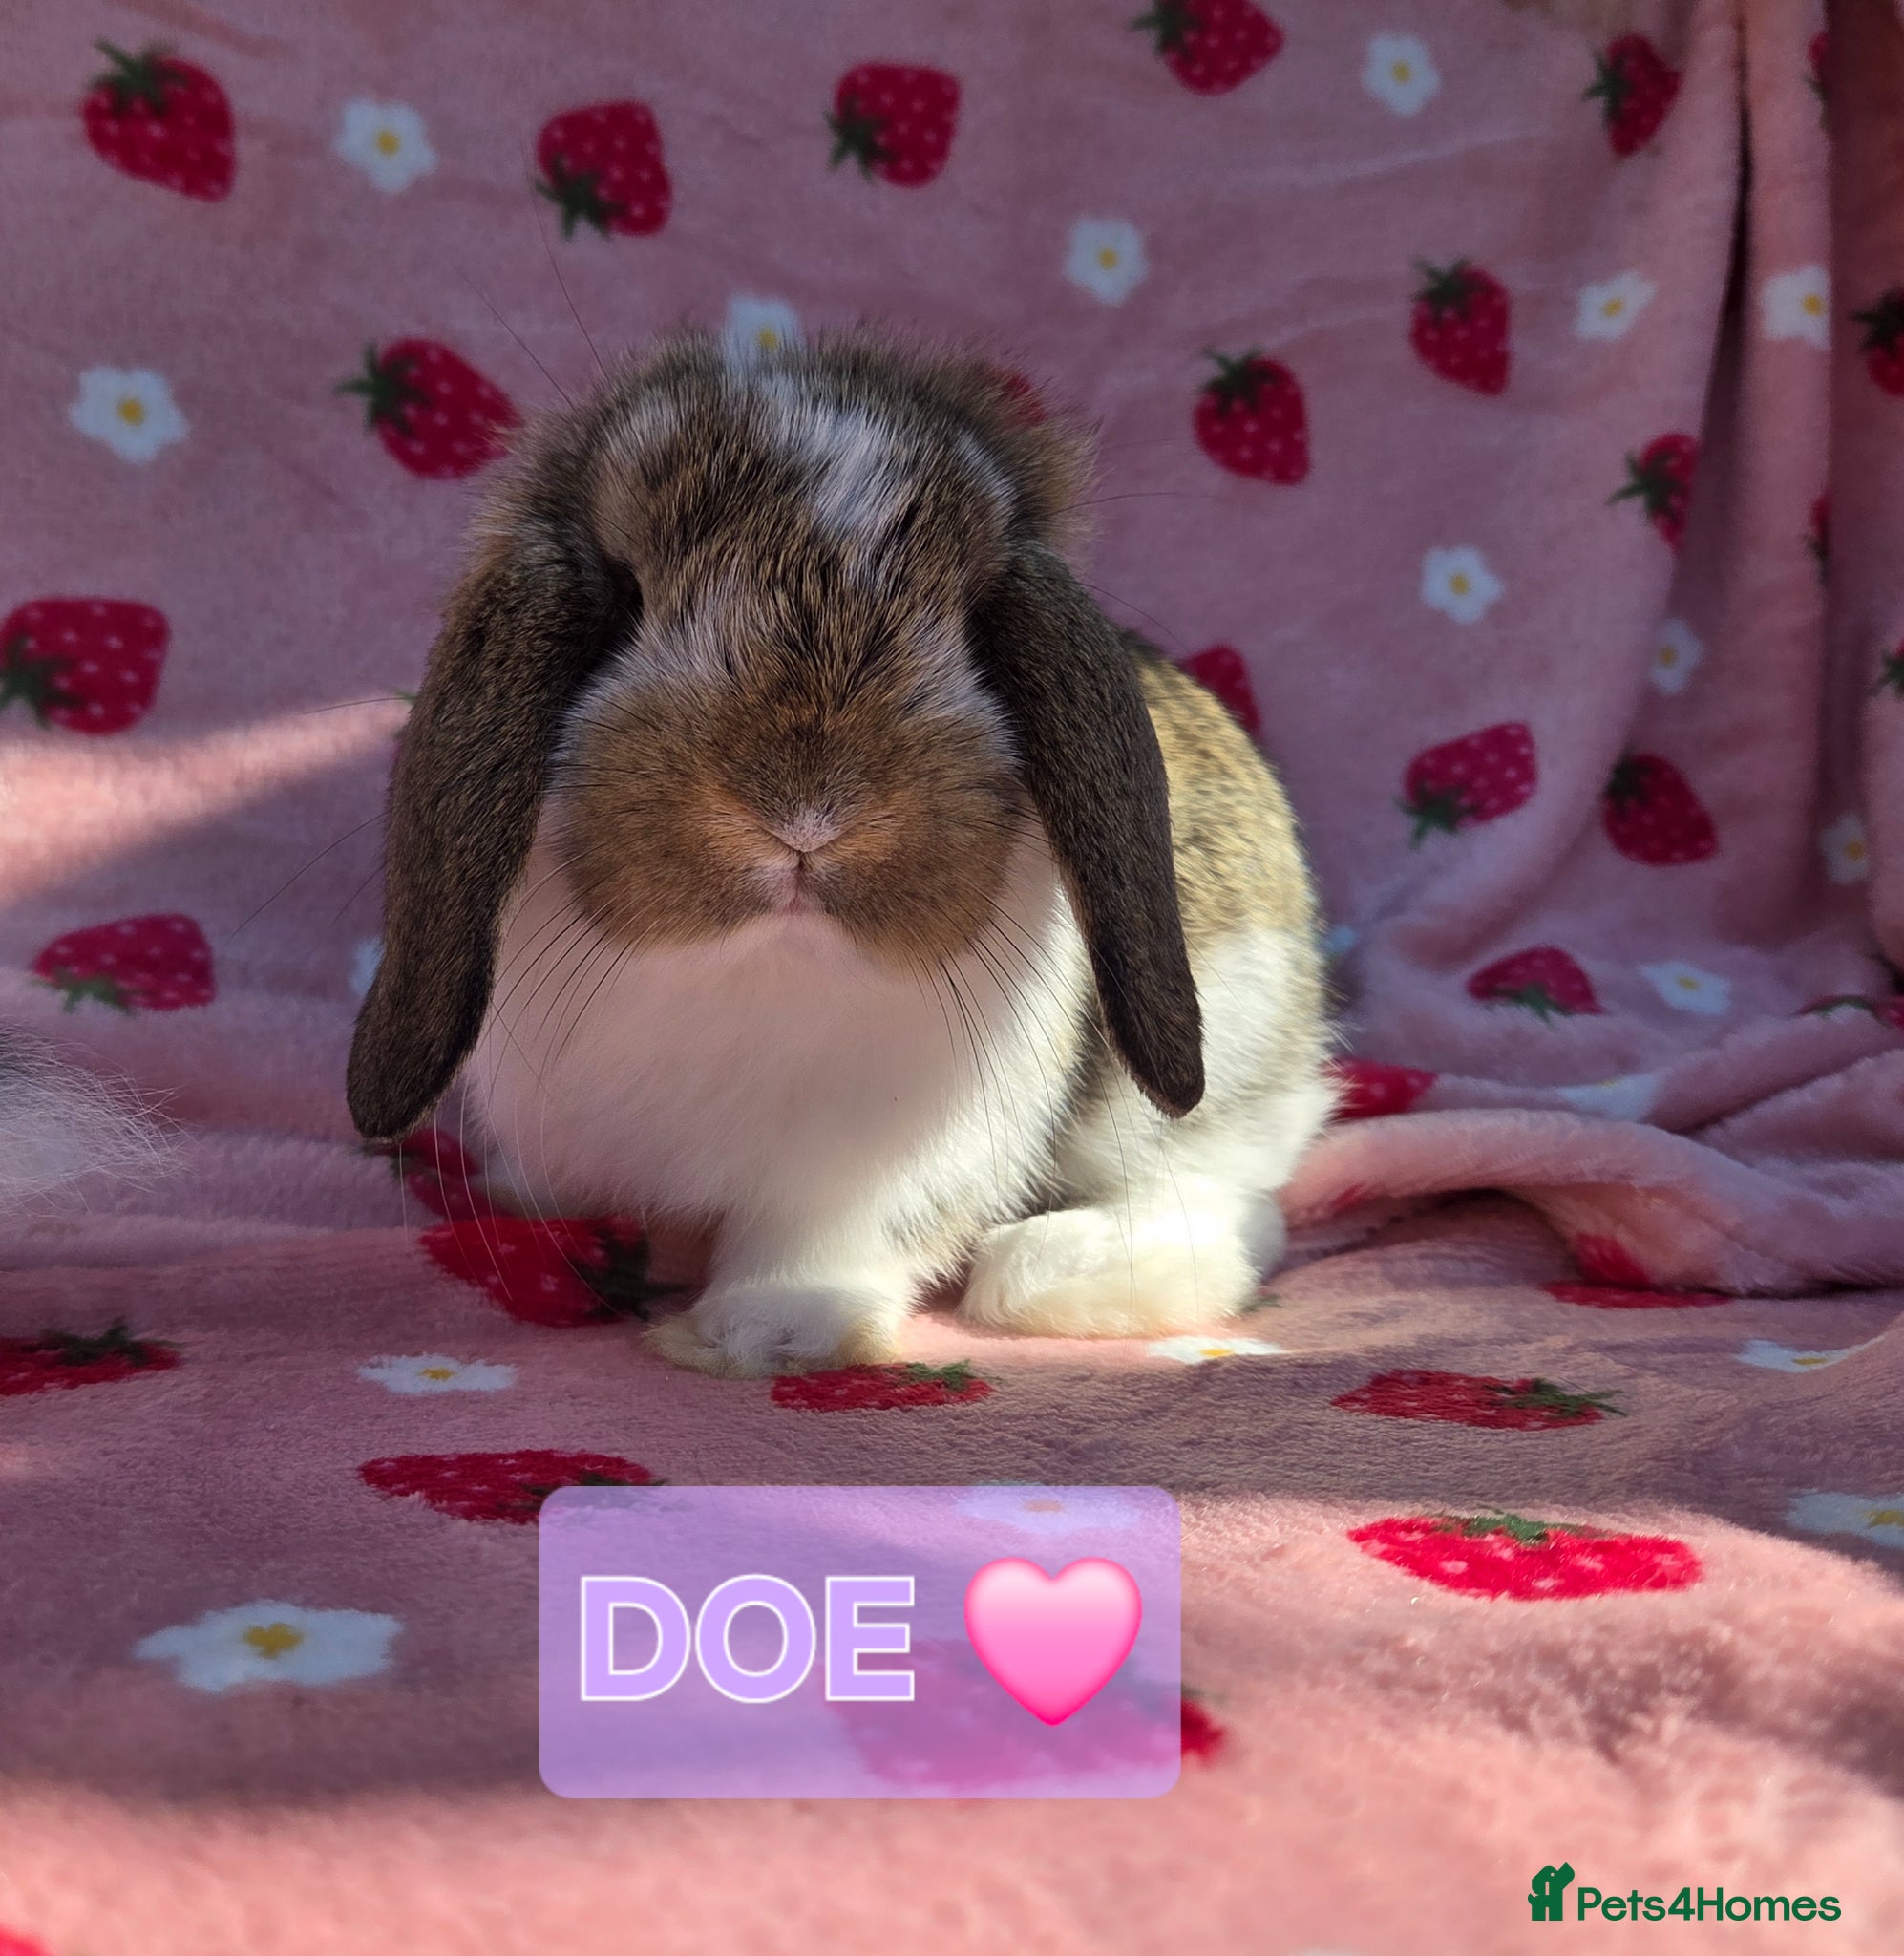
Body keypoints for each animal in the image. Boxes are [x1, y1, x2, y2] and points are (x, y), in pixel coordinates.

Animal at [347, 326, 1334, 1377]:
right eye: (624, 595)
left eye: (971, 622)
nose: (808, 816)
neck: (761, 964)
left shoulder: (878, 1172)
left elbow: (825, 1238)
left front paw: (762, 1332)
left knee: (1231, 1209)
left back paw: (1060, 1273)